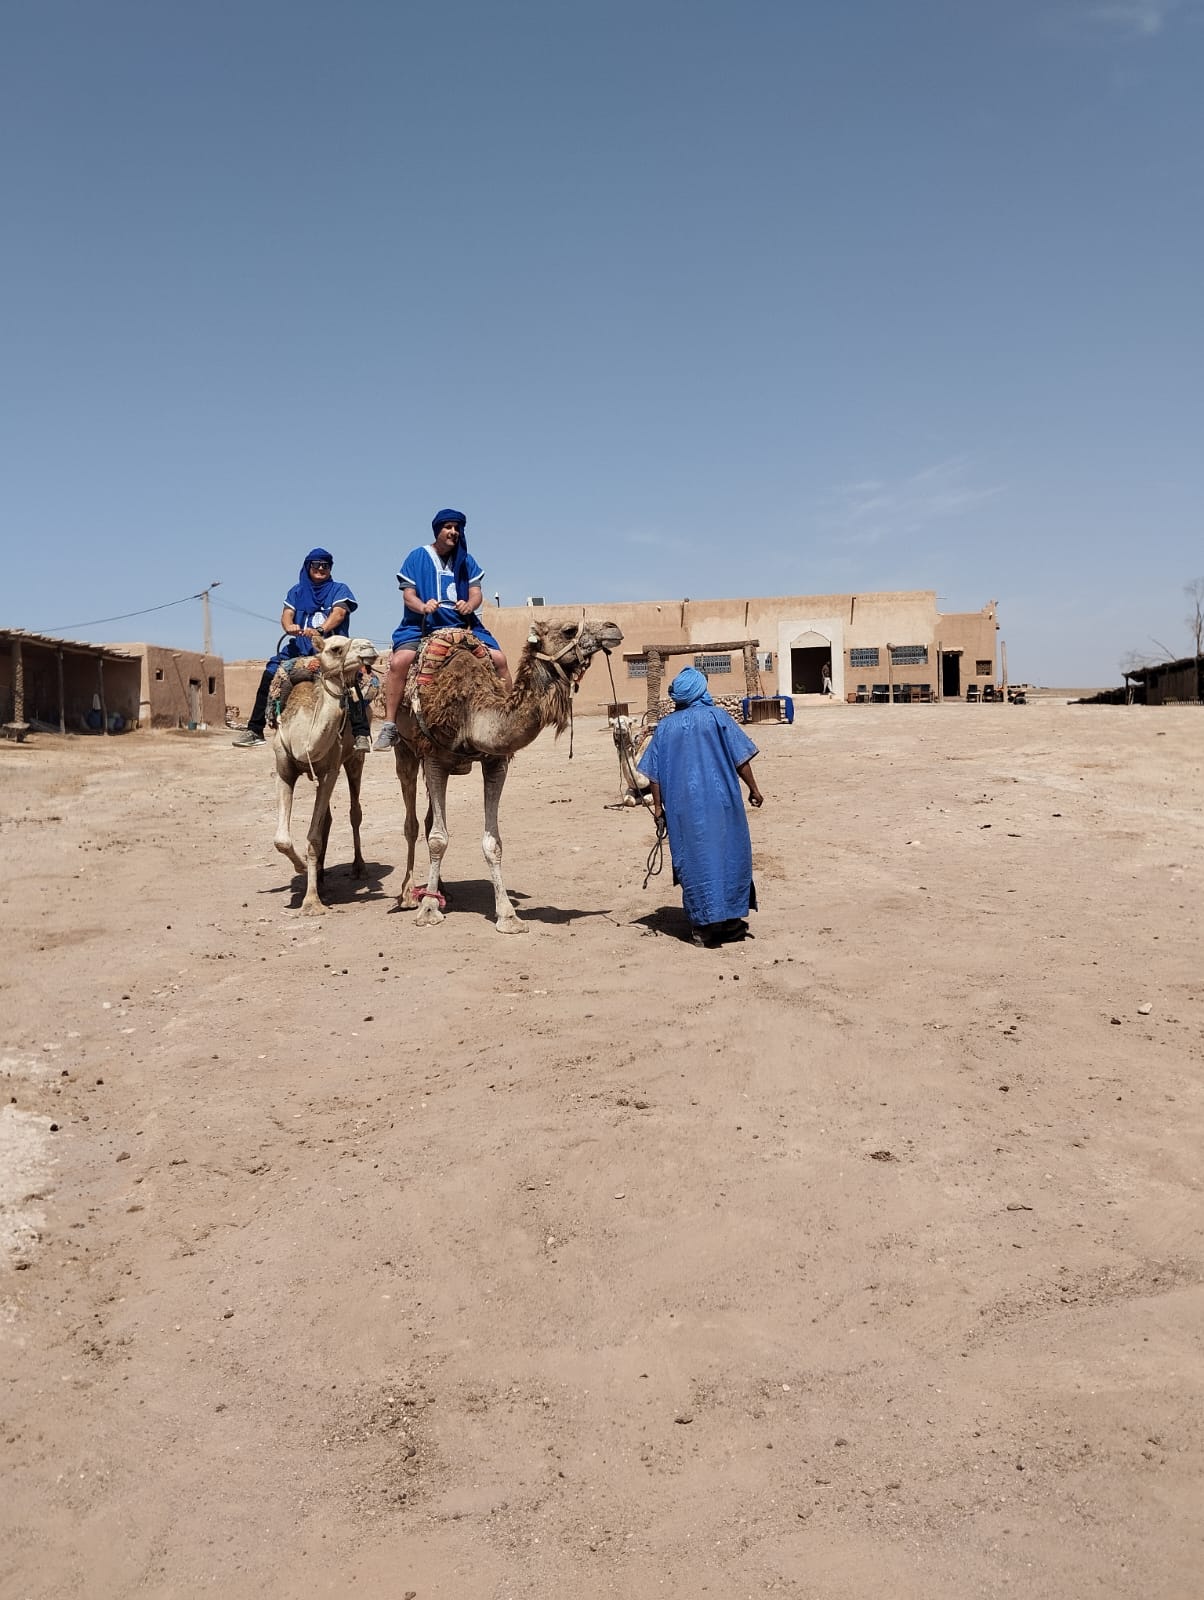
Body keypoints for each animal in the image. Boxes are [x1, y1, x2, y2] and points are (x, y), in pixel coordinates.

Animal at [272, 634, 380, 913]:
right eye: (336, 649)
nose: (369, 647)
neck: (303, 738)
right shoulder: (284, 771)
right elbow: (282, 840)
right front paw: (303, 870)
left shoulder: (330, 771)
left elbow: (313, 836)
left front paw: (311, 901)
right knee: (327, 819)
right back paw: (319, 875)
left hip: (355, 759)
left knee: (355, 813)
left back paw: (358, 868)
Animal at [393, 616, 624, 932]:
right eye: (568, 630)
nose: (613, 628)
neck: (471, 711)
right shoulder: (435, 759)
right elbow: (438, 839)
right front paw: (428, 910)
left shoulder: (495, 762)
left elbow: (492, 843)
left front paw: (508, 916)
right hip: (406, 750)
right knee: (412, 824)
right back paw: (408, 894)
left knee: (428, 822)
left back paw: (442, 890)